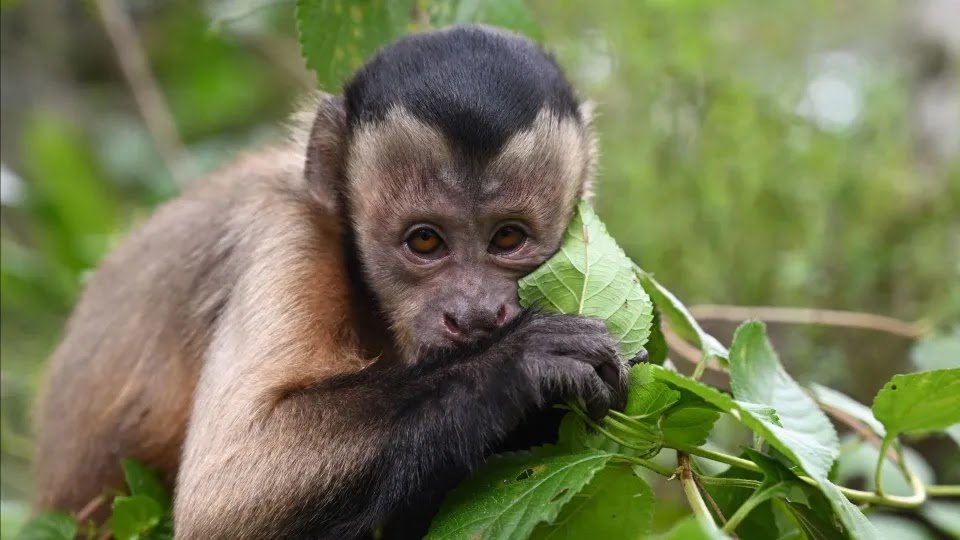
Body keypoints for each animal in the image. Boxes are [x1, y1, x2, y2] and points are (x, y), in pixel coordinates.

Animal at [33, 25, 628, 539]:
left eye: (507, 237)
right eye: (425, 242)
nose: (476, 313)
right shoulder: (287, 232)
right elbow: (223, 498)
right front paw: (517, 361)